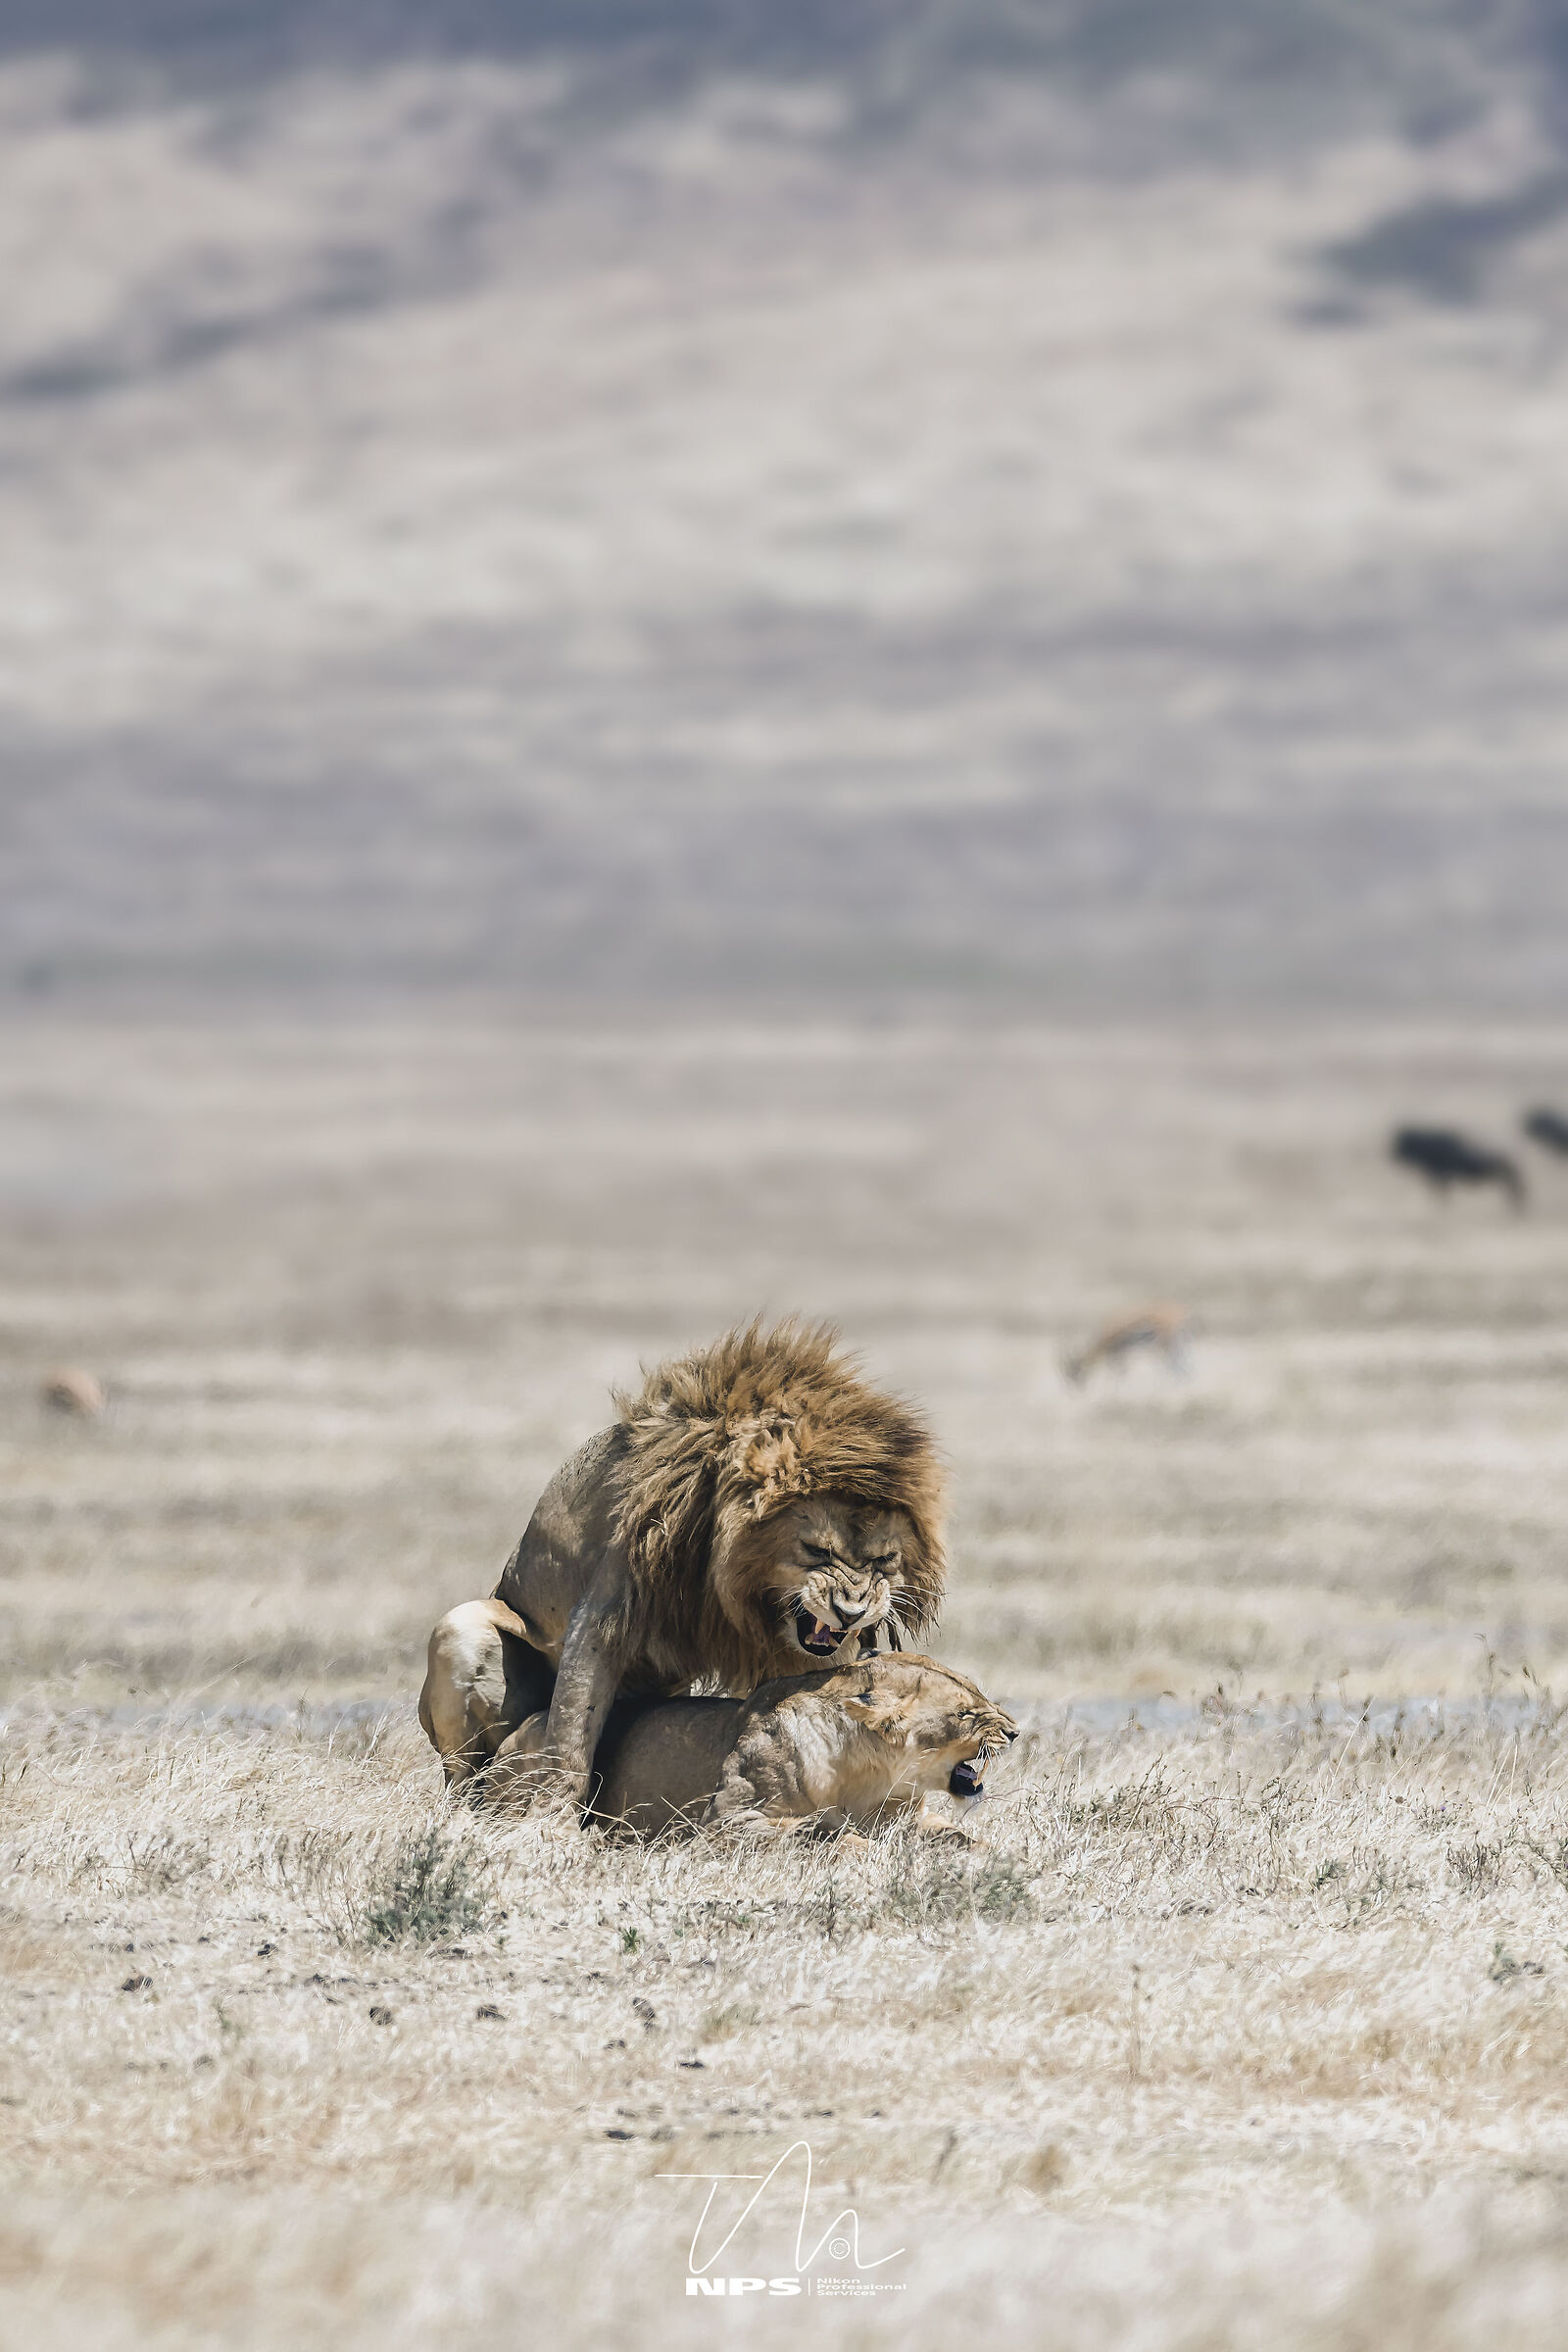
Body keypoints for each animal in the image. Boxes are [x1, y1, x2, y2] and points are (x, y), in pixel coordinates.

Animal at [419, 1321, 946, 1815]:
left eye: (884, 1561)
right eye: (816, 1551)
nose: (851, 1613)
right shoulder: (605, 1612)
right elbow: (571, 1737)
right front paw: (554, 1825)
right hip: (461, 1631)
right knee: (464, 1775)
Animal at [427, 1641, 1016, 1840]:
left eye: (980, 1695)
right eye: (967, 1714)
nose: (1013, 1731)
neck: (874, 1777)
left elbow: (964, 1837)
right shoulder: (723, 1824)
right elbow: (821, 1834)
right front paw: (841, 1837)